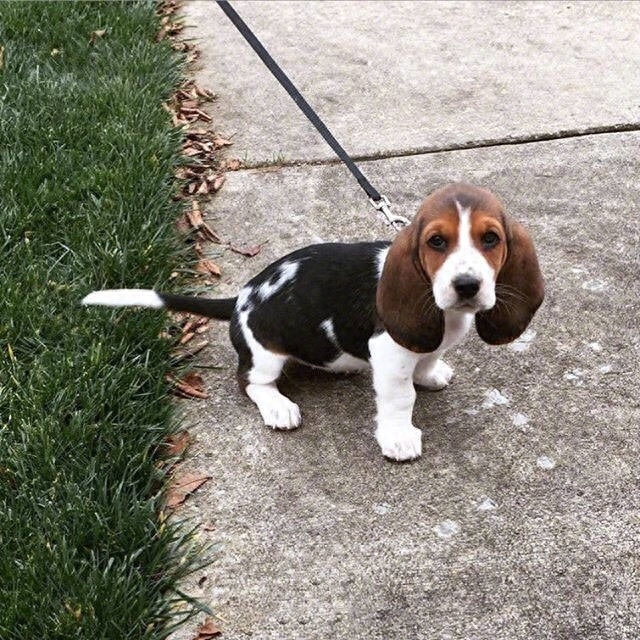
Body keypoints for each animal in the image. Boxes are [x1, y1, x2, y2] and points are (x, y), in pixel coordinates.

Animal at [84, 184, 544, 460]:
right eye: (436, 242)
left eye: (491, 239)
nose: (467, 285)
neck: (443, 311)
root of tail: (240, 298)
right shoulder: (388, 353)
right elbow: (400, 398)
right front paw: (399, 436)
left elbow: (428, 358)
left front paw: (431, 373)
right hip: (266, 354)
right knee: (250, 382)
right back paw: (278, 407)